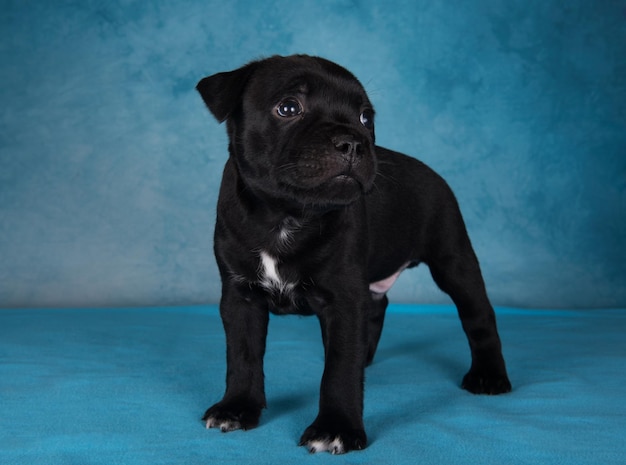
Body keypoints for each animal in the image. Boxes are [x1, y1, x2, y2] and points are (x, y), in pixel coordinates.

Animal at [195, 54, 508, 454]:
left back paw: (489, 375)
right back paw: (368, 356)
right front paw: (236, 407)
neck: (286, 215)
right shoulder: (241, 296)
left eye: (365, 118)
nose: (354, 143)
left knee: (478, 314)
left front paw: (336, 427)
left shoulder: (343, 298)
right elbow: (242, 355)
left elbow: (340, 368)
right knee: (377, 305)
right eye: (288, 108)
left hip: (453, 258)